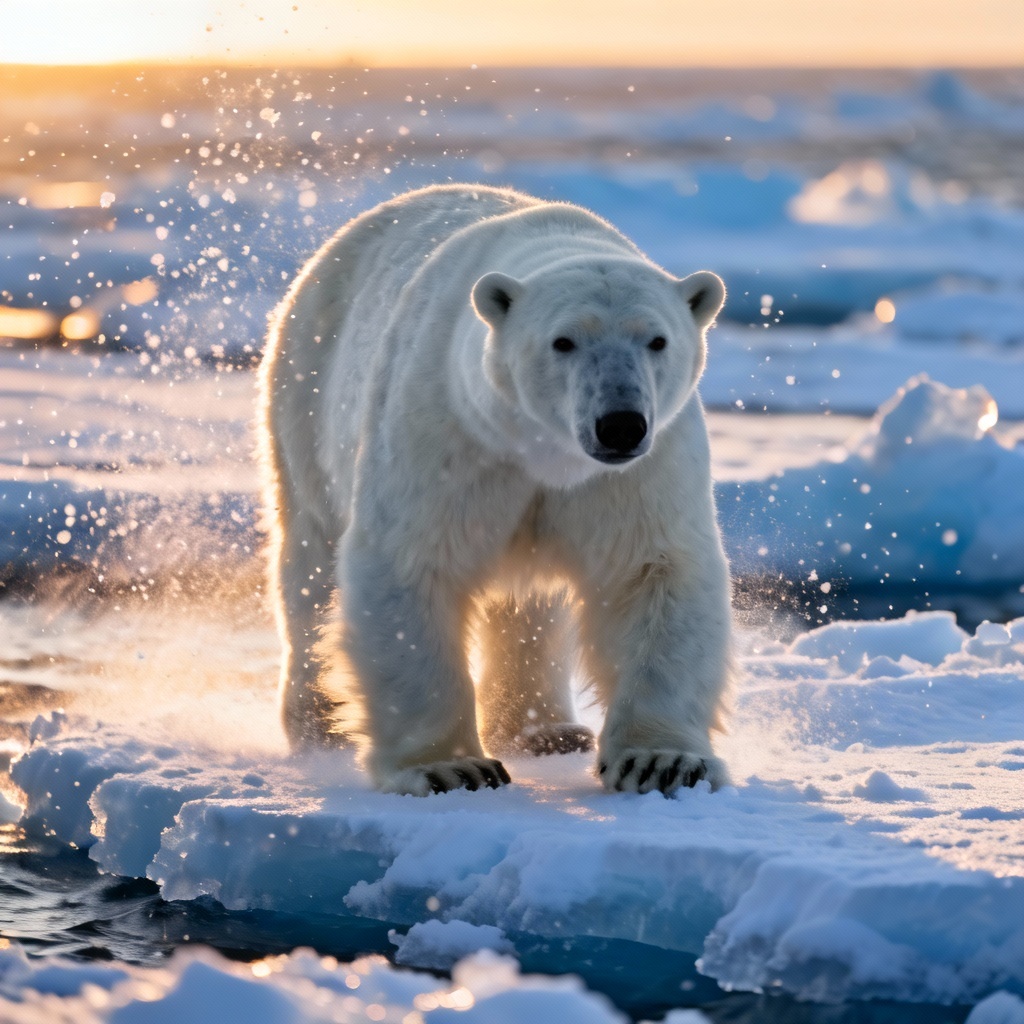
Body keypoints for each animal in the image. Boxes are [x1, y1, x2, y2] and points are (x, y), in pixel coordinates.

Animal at [259, 183, 732, 797]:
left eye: (657, 339)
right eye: (563, 341)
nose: (620, 424)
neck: (543, 454)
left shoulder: (637, 474)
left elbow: (651, 571)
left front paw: (660, 761)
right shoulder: (450, 437)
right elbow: (412, 565)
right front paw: (450, 767)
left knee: (530, 609)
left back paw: (547, 731)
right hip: (306, 392)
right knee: (309, 566)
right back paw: (319, 725)